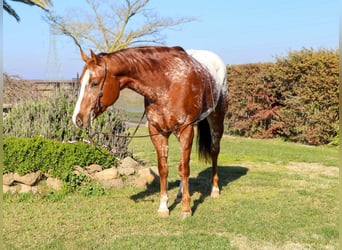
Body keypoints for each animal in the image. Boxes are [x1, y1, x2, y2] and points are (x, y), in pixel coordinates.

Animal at [72, 46, 227, 218]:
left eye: (94, 83)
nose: (77, 119)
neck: (168, 84)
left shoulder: (185, 130)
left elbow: (184, 169)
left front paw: (186, 209)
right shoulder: (157, 132)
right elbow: (164, 169)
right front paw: (164, 207)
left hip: (216, 120)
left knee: (213, 152)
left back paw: (214, 190)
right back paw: (180, 193)